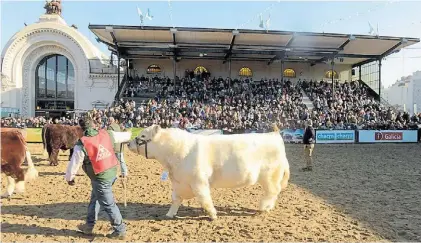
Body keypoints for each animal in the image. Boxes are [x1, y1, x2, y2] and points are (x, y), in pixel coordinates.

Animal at [127, 125, 288, 220]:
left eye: (143, 136)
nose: (128, 143)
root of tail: (274, 135)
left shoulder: (199, 181)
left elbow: (204, 198)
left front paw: (212, 215)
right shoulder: (179, 182)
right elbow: (175, 199)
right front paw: (169, 214)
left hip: (270, 176)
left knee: (272, 192)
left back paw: (263, 208)